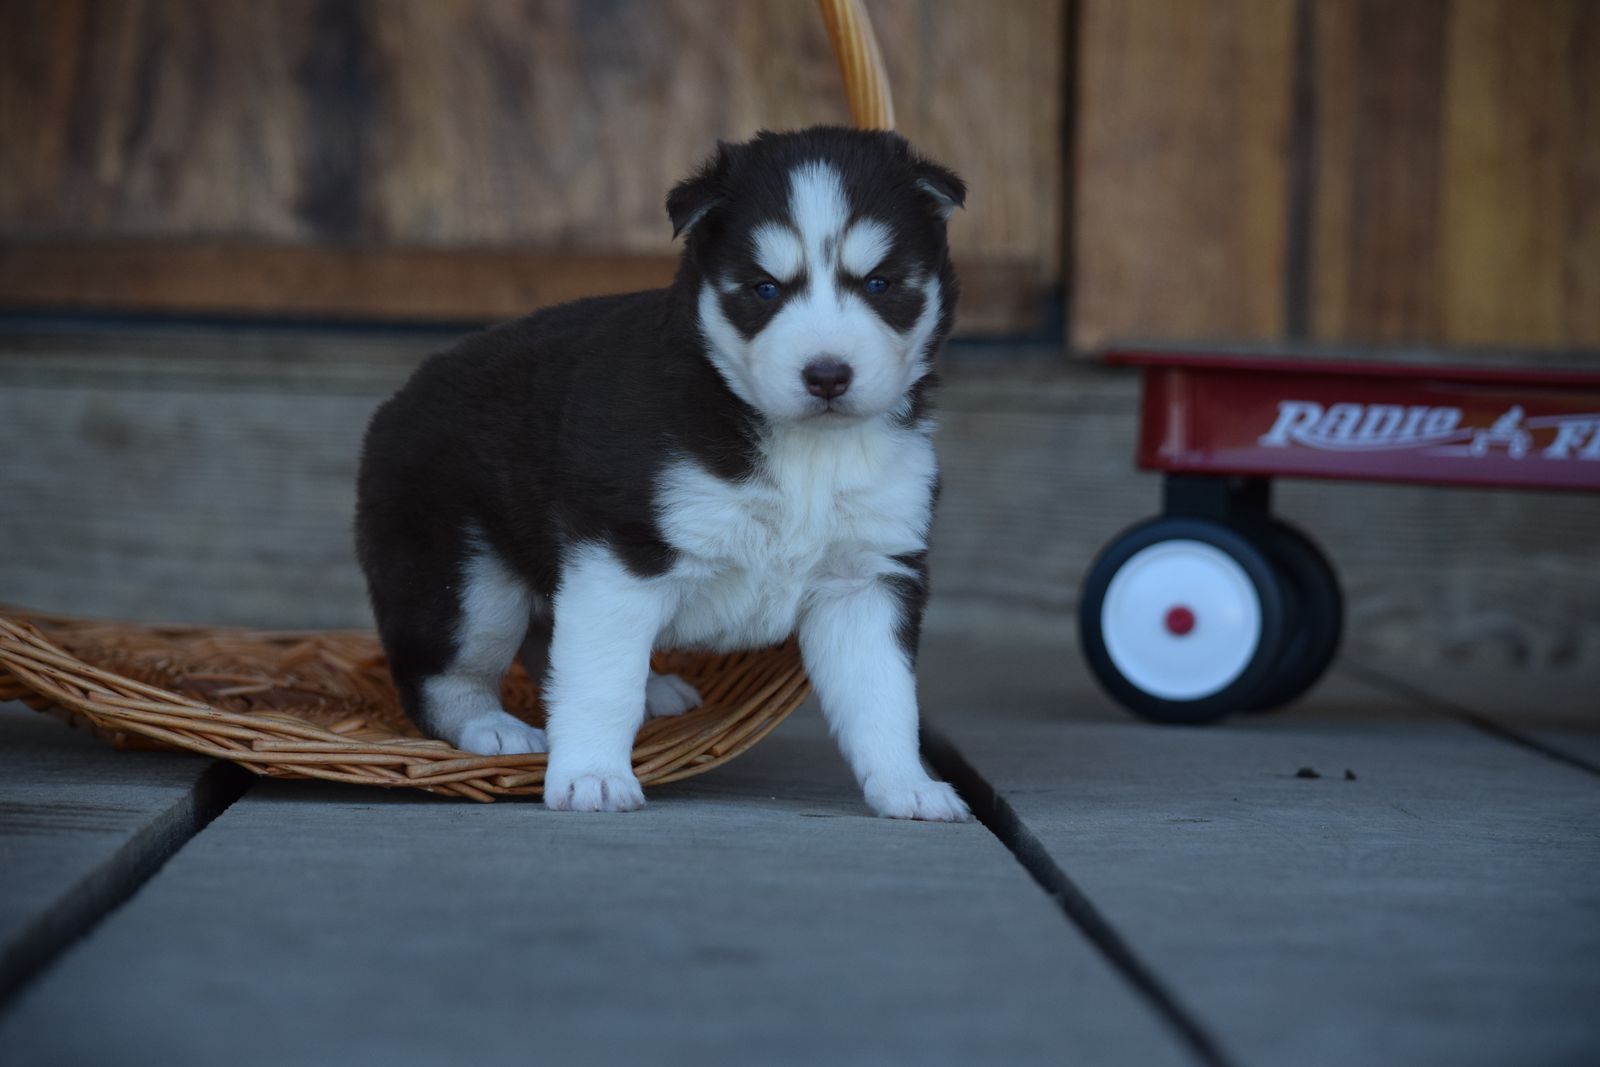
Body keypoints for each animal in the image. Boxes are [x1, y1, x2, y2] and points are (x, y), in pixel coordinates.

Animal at [355, 126, 968, 820]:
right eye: (764, 289)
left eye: (880, 284)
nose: (827, 375)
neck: (805, 449)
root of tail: (396, 400)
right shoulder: (619, 556)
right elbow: (601, 681)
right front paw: (591, 776)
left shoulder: (867, 577)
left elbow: (884, 699)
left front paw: (907, 785)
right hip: (466, 583)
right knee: (441, 675)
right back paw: (492, 728)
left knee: (547, 639)